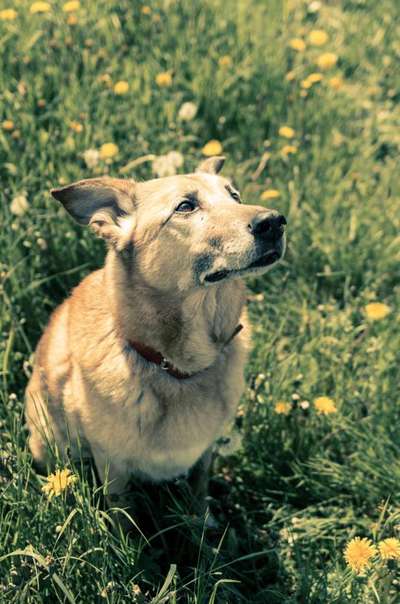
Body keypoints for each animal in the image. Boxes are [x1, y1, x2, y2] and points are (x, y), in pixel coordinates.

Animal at [25, 157, 286, 528]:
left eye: (234, 195)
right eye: (185, 206)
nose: (274, 222)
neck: (177, 366)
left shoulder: (204, 455)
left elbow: (198, 490)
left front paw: (202, 525)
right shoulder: (113, 465)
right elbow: (123, 517)